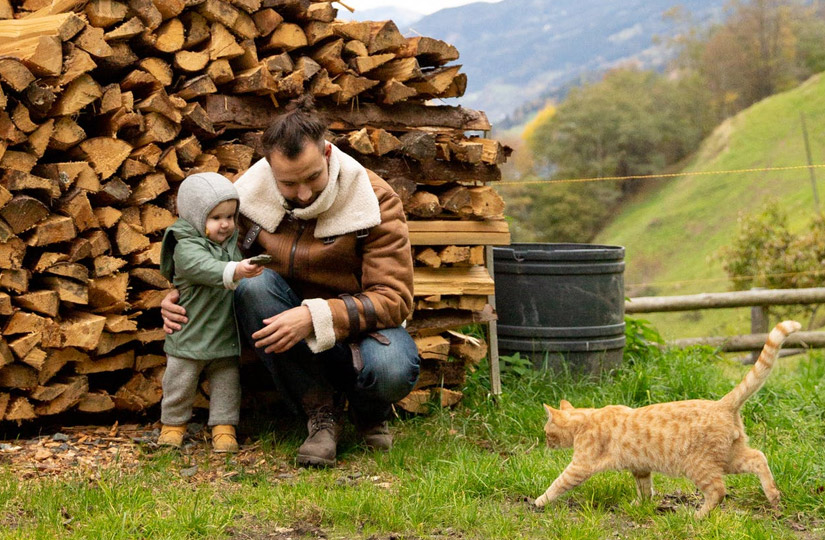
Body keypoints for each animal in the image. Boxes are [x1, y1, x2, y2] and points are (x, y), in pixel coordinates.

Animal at [536, 318, 800, 516]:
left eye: (547, 432)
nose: (546, 444)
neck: (586, 419)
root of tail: (721, 404)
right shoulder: (640, 467)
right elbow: (645, 489)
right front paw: (640, 505)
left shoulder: (580, 466)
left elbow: (558, 483)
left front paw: (539, 501)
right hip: (730, 458)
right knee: (758, 458)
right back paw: (774, 497)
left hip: (698, 465)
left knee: (718, 490)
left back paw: (698, 516)